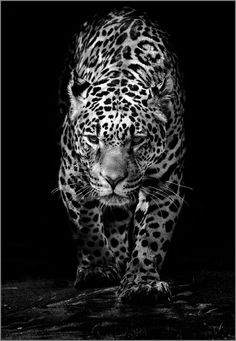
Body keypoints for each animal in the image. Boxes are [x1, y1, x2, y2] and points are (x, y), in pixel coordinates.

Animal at [58, 6, 185, 302]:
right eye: (93, 139)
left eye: (137, 140)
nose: (113, 179)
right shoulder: (71, 175)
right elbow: (86, 224)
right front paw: (97, 269)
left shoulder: (165, 185)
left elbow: (153, 234)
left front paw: (142, 282)